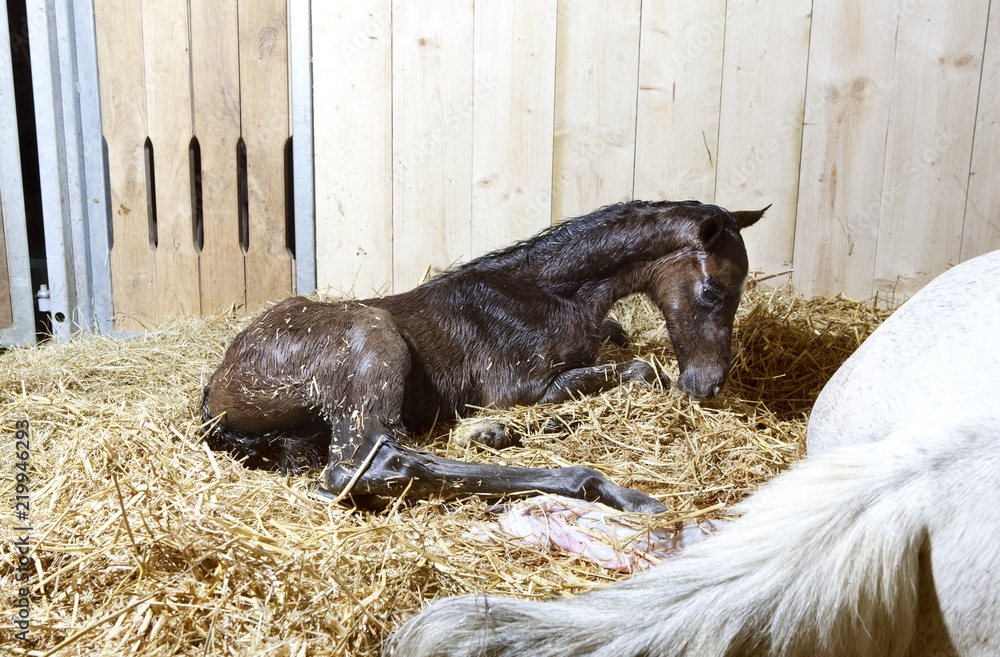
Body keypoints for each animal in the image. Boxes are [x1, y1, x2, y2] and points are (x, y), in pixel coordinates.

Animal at [202, 200, 766, 513]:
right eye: (713, 291)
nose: (708, 383)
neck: (548, 292)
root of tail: (215, 393)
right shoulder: (520, 386)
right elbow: (640, 371)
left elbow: (621, 351)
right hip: (374, 338)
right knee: (363, 463)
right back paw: (603, 487)